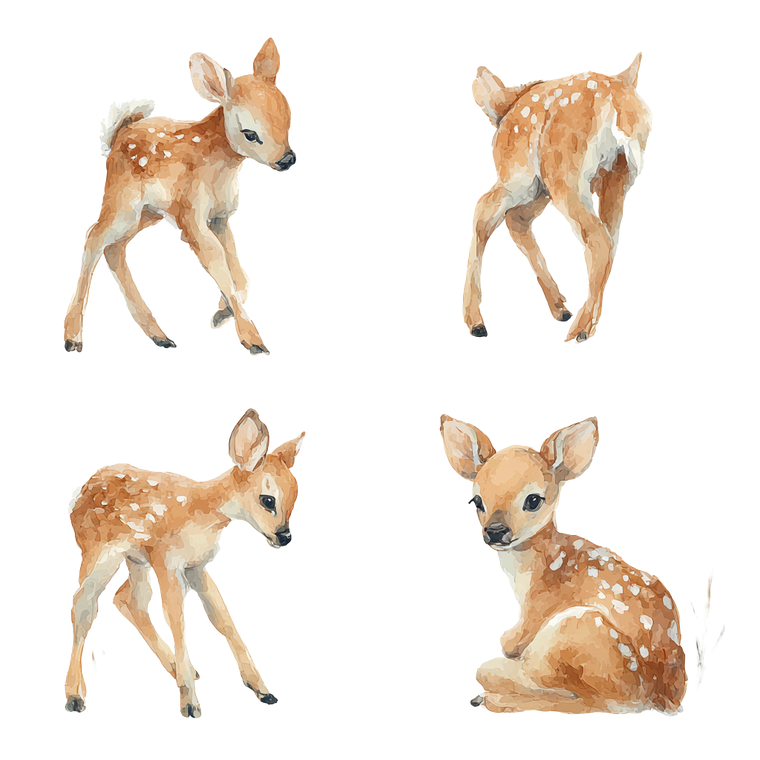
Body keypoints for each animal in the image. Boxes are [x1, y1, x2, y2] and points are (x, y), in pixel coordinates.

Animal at [62, 37, 297, 358]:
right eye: (250, 133)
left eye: (288, 117)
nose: (287, 160)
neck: (220, 167)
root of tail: (120, 132)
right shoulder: (190, 214)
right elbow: (221, 266)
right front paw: (254, 341)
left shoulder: (220, 216)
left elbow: (240, 275)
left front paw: (221, 315)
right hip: (122, 200)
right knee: (94, 236)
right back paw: (73, 338)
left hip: (148, 212)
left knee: (114, 247)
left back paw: (160, 336)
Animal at [63, 407, 306, 720]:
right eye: (267, 500)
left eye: (295, 497)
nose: (284, 537)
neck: (203, 514)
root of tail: (78, 493)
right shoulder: (168, 560)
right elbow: (178, 619)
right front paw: (190, 704)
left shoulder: (197, 565)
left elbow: (222, 617)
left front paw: (263, 691)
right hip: (98, 551)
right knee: (84, 603)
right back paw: (75, 696)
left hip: (136, 559)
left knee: (128, 599)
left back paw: (180, 669)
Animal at [439, 413, 687, 716]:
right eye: (476, 501)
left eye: (533, 500)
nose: (495, 531)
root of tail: (665, 699)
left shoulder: (539, 608)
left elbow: (512, 642)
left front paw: (502, 652)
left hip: (579, 637)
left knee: (589, 700)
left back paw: (489, 696)